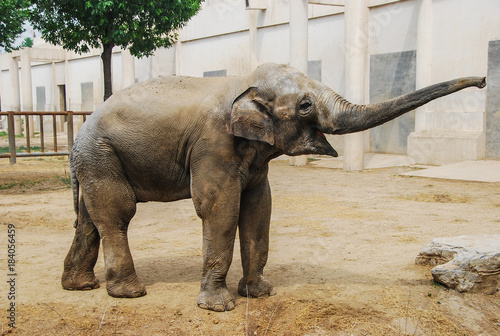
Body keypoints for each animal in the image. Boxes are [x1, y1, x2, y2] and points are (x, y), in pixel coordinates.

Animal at [61, 63, 484, 312]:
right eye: (306, 106)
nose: (482, 80)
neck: (242, 82)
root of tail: (80, 131)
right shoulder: (213, 144)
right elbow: (219, 208)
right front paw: (220, 308)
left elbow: (259, 207)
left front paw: (260, 293)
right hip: (102, 155)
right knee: (118, 214)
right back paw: (130, 293)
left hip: (95, 161)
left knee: (88, 220)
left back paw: (80, 286)